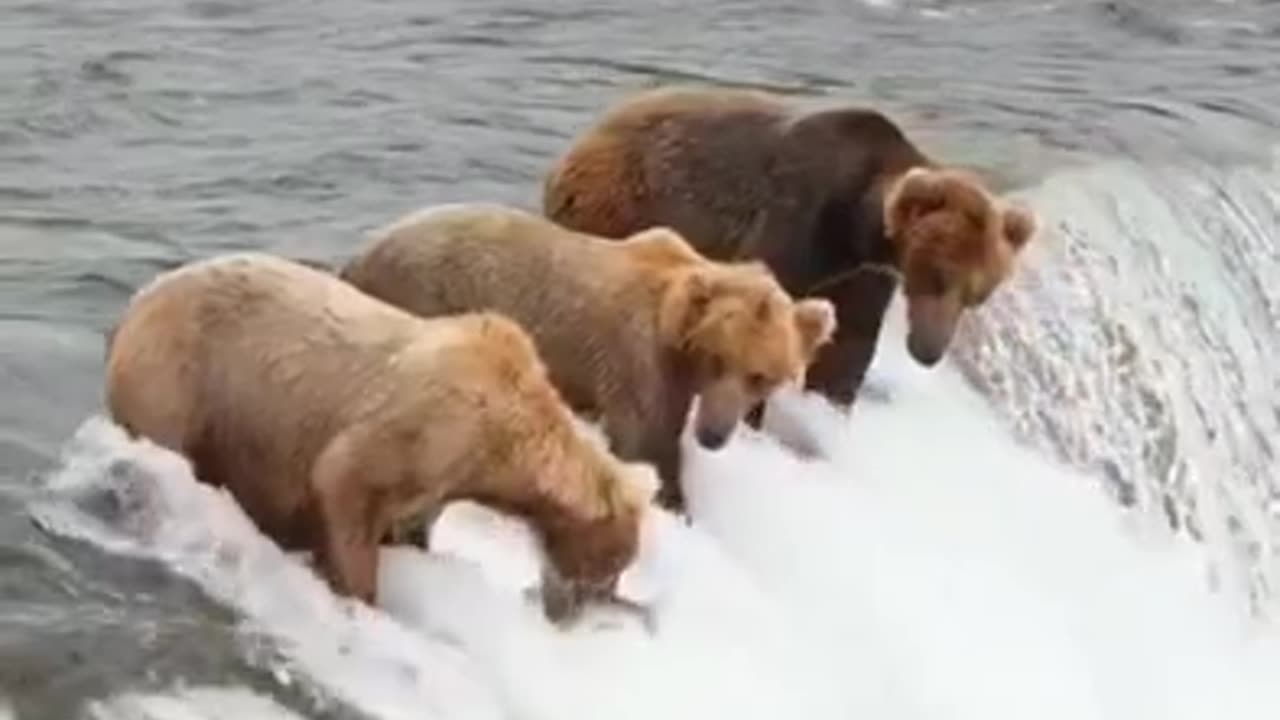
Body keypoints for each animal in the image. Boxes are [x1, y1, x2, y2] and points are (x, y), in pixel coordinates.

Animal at [103, 249, 655, 620]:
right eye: (614, 561)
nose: (586, 608)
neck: (502, 442)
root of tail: (136, 303)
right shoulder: (428, 428)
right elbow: (346, 482)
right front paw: (361, 596)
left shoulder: (443, 477)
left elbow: (411, 521)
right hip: (179, 381)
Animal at [340, 203, 839, 509]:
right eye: (718, 359)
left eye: (761, 376)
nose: (713, 435)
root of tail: (360, 255)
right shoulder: (638, 361)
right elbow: (645, 443)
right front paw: (672, 497)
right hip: (425, 291)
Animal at [540, 84, 1039, 409]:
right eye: (936, 276)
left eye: (977, 295)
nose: (929, 351)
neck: (853, 224)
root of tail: (582, 140)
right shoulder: (795, 218)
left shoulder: (863, 274)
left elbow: (848, 347)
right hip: (621, 204)